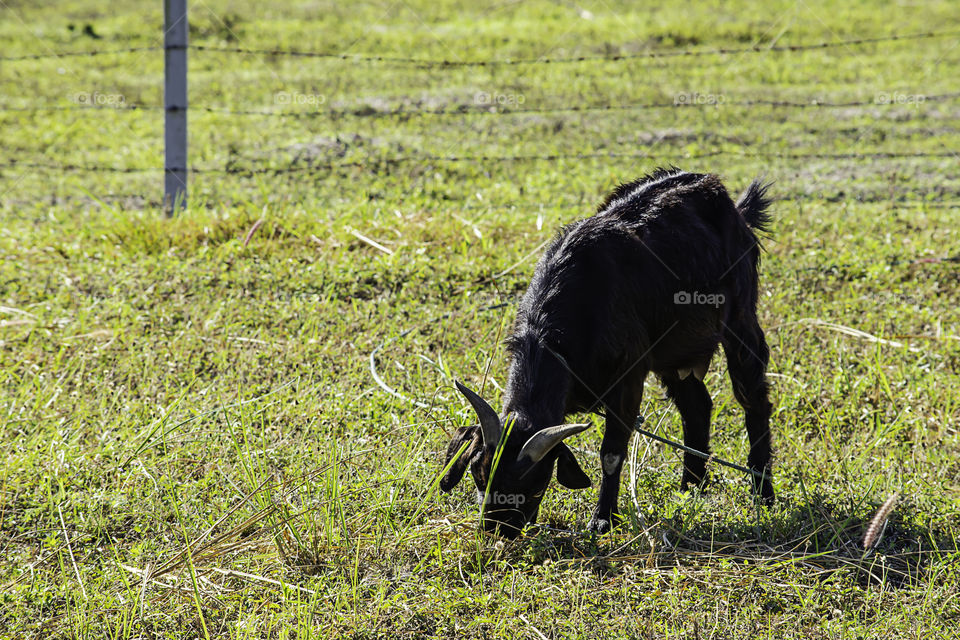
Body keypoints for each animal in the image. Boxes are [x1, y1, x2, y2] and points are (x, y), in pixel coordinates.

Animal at [440, 168, 772, 536]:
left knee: (754, 400)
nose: (499, 531)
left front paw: (603, 519)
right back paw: (690, 489)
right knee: (697, 406)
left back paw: (762, 493)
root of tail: (734, 207)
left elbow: (611, 453)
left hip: (740, 322)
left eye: (536, 485)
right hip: (672, 354)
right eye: (479, 475)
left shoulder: (629, 375)